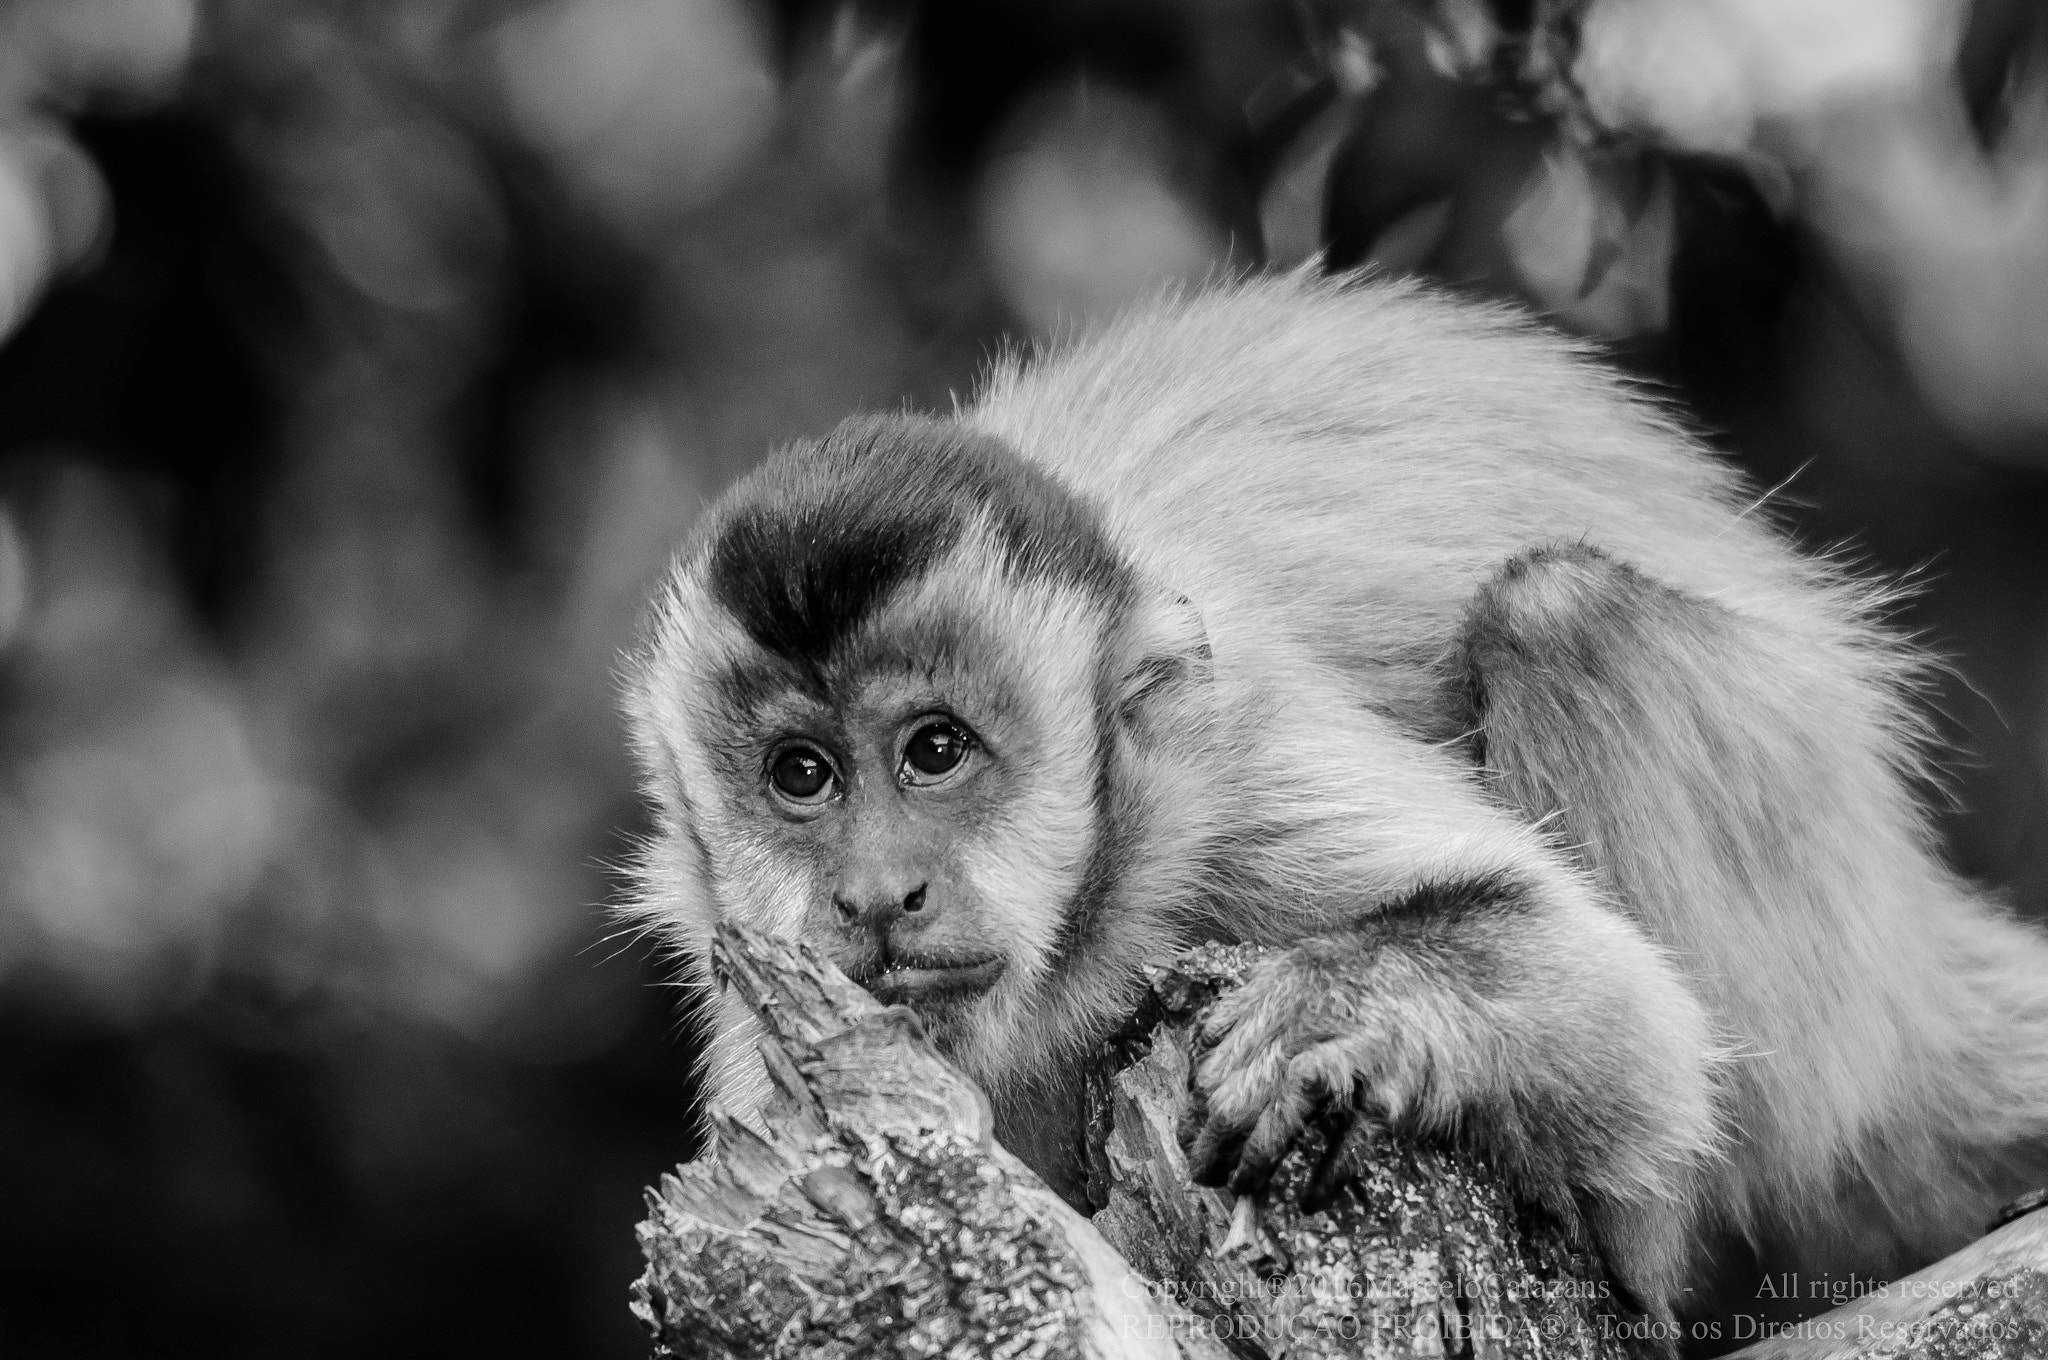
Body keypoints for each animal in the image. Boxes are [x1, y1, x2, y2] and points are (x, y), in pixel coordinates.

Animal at [618, 270, 2048, 1321]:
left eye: (932, 751)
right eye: (800, 777)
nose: (873, 893)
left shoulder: (1233, 760)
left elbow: (1628, 1010)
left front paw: (1342, 1009)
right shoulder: (762, 1041)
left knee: (1562, 611)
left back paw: (1629, 1241)